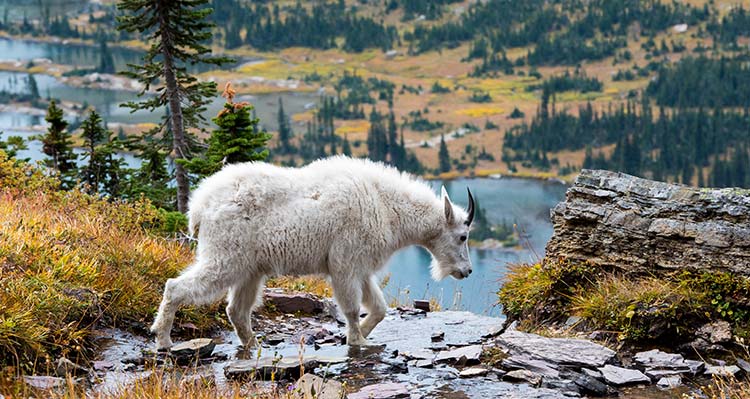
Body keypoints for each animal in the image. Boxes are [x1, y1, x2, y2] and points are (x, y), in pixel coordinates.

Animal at [151, 155, 476, 348]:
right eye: (462, 236)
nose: (467, 271)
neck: (387, 207)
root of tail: (199, 206)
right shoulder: (344, 263)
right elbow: (351, 307)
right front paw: (356, 341)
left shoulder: (361, 268)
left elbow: (379, 307)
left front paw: (364, 332)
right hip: (225, 256)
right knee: (176, 286)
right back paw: (163, 338)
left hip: (250, 269)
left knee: (236, 309)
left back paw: (253, 345)